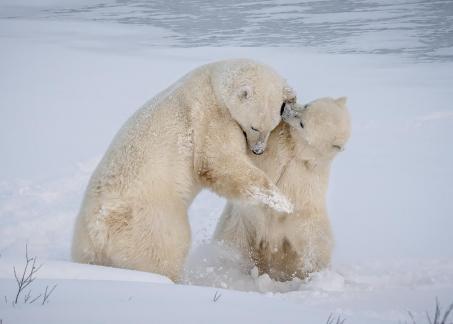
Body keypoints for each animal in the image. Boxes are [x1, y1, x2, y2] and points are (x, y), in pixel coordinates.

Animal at [72, 59, 294, 282]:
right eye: (255, 127)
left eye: (272, 127)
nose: (258, 150)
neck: (214, 81)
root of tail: (99, 229)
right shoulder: (212, 116)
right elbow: (218, 162)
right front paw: (283, 202)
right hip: (152, 220)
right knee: (164, 252)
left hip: (84, 244)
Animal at [214, 96, 352, 280]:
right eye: (307, 105)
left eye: (302, 124)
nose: (284, 108)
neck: (298, 151)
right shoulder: (280, 144)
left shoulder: (304, 176)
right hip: (242, 223)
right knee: (232, 242)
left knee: (316, 246)